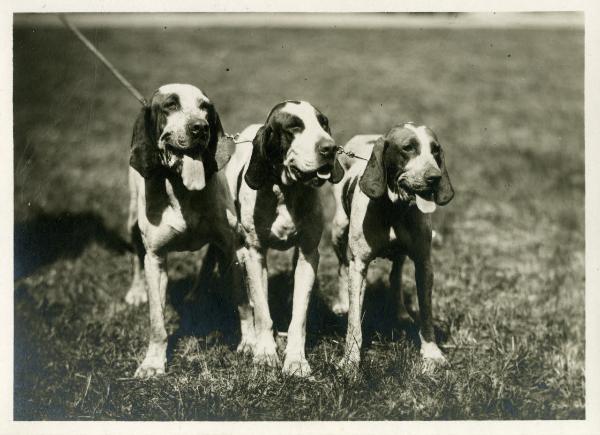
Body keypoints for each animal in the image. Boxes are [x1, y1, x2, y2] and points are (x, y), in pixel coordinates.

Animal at [125, 84, 250, 378]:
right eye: (170, 105)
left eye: (205, 107)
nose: (200, 128)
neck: (182, 189)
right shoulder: (155, 259)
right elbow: (157, 322)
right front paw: (153, 362)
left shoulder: (231, 248)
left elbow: (242, 303)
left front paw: (250, 342)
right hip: (132, 219)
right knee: (135, 253)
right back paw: (136, 291)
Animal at [221, 100, 344, 376]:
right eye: (294, 128)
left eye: (324, 123)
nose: (330, 148)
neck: (286, 191)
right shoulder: (254, 255)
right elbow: (261, 312)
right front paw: (265, 353)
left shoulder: (309, 254)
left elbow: (299, 315)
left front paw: (296, 360)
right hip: (237, 255)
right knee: (244, 303)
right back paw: (249, 341)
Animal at [328, 123, 454, 374]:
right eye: (408, 148)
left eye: (435, 150)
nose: (435, 178)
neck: (395, 210)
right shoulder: (359, 266)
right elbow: (354, 321)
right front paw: (350, 359)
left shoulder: (424, 264)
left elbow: (426, 312)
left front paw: (432, 353)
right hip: (337, 230)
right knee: (341, 267)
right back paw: (342, 303)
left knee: (395, 276)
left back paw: (401, 312)